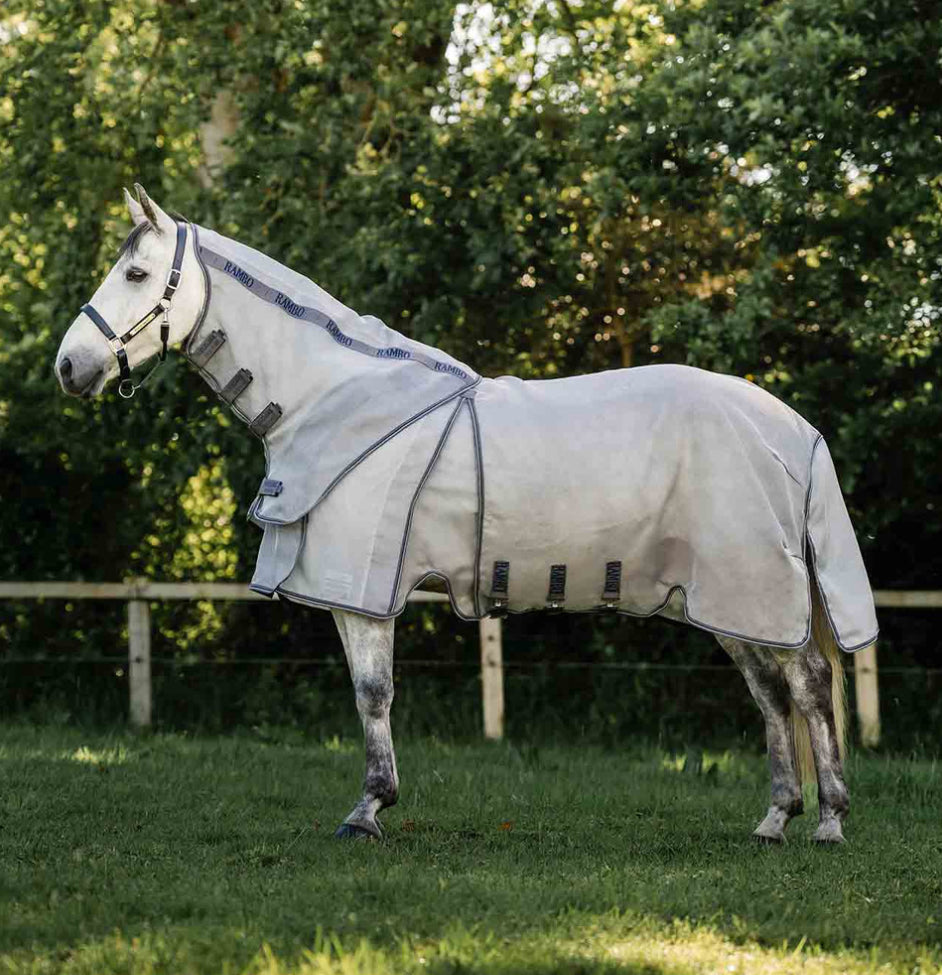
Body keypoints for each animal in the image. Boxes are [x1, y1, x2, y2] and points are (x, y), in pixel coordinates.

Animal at [55, 185, 878, 844]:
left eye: (135, 273)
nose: (69, 366)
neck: (335, 397)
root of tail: (791, 428)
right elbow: (366, 692)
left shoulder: (362, 590)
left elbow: (373, 693)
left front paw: (368, 811)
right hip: (724, 599)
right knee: (772, 693)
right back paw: (776, 818)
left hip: (751, 587)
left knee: (807, 684)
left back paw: (830, 821)